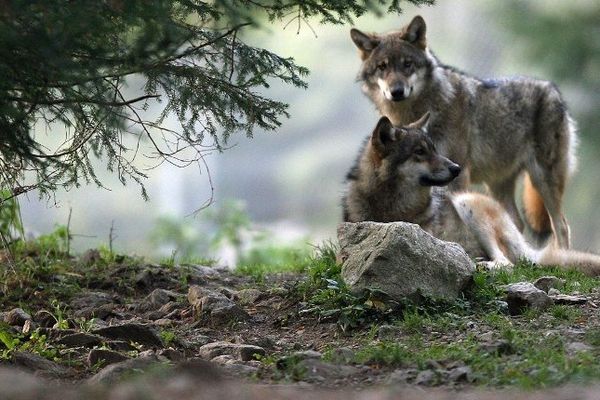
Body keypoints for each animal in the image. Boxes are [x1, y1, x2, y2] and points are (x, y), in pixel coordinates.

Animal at [342, 115, 600, 276]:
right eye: (420, 152)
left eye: (434, 149)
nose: (456, 168)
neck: (392, 207)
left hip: (469, 205)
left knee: (507, 264)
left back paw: (479, 264)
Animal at [352, 17, 576, 248]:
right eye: (382, 67)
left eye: (407, 64)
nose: (396, 92)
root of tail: (552, 88)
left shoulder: (458, 170)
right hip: (497, 184)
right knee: (515, 221)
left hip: (543, 178)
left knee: (561, 225)